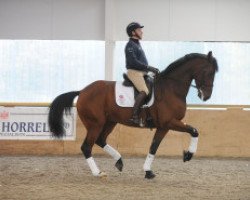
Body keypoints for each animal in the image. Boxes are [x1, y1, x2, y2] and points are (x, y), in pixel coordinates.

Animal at [47, 50, 218, 179]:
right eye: (208, 72)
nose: (206, 96)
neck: (171, 89)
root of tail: (82, 91)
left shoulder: (164, 126)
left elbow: (154, 146)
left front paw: (148, 171)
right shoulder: (169, 122)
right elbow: (194, 131)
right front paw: (188, 155)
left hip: (110, 121)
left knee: (101, 140)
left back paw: (119, 161)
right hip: (96, 123)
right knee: (86, 147)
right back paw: (98, 173)